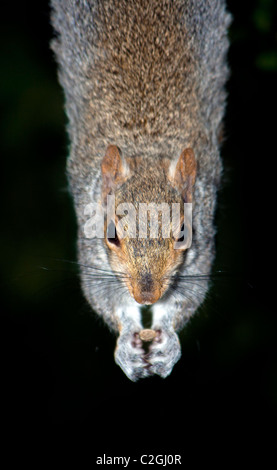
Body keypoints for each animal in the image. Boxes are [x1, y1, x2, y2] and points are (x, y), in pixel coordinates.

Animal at [50, 0, 231, 382]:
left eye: (183, 233)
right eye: (111, 234)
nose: (146, 297)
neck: (147, 146)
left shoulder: (203, 237)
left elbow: (188, 294)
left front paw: (169, 341)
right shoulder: (90, 241)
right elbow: (103, 293)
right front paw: (126, 341)